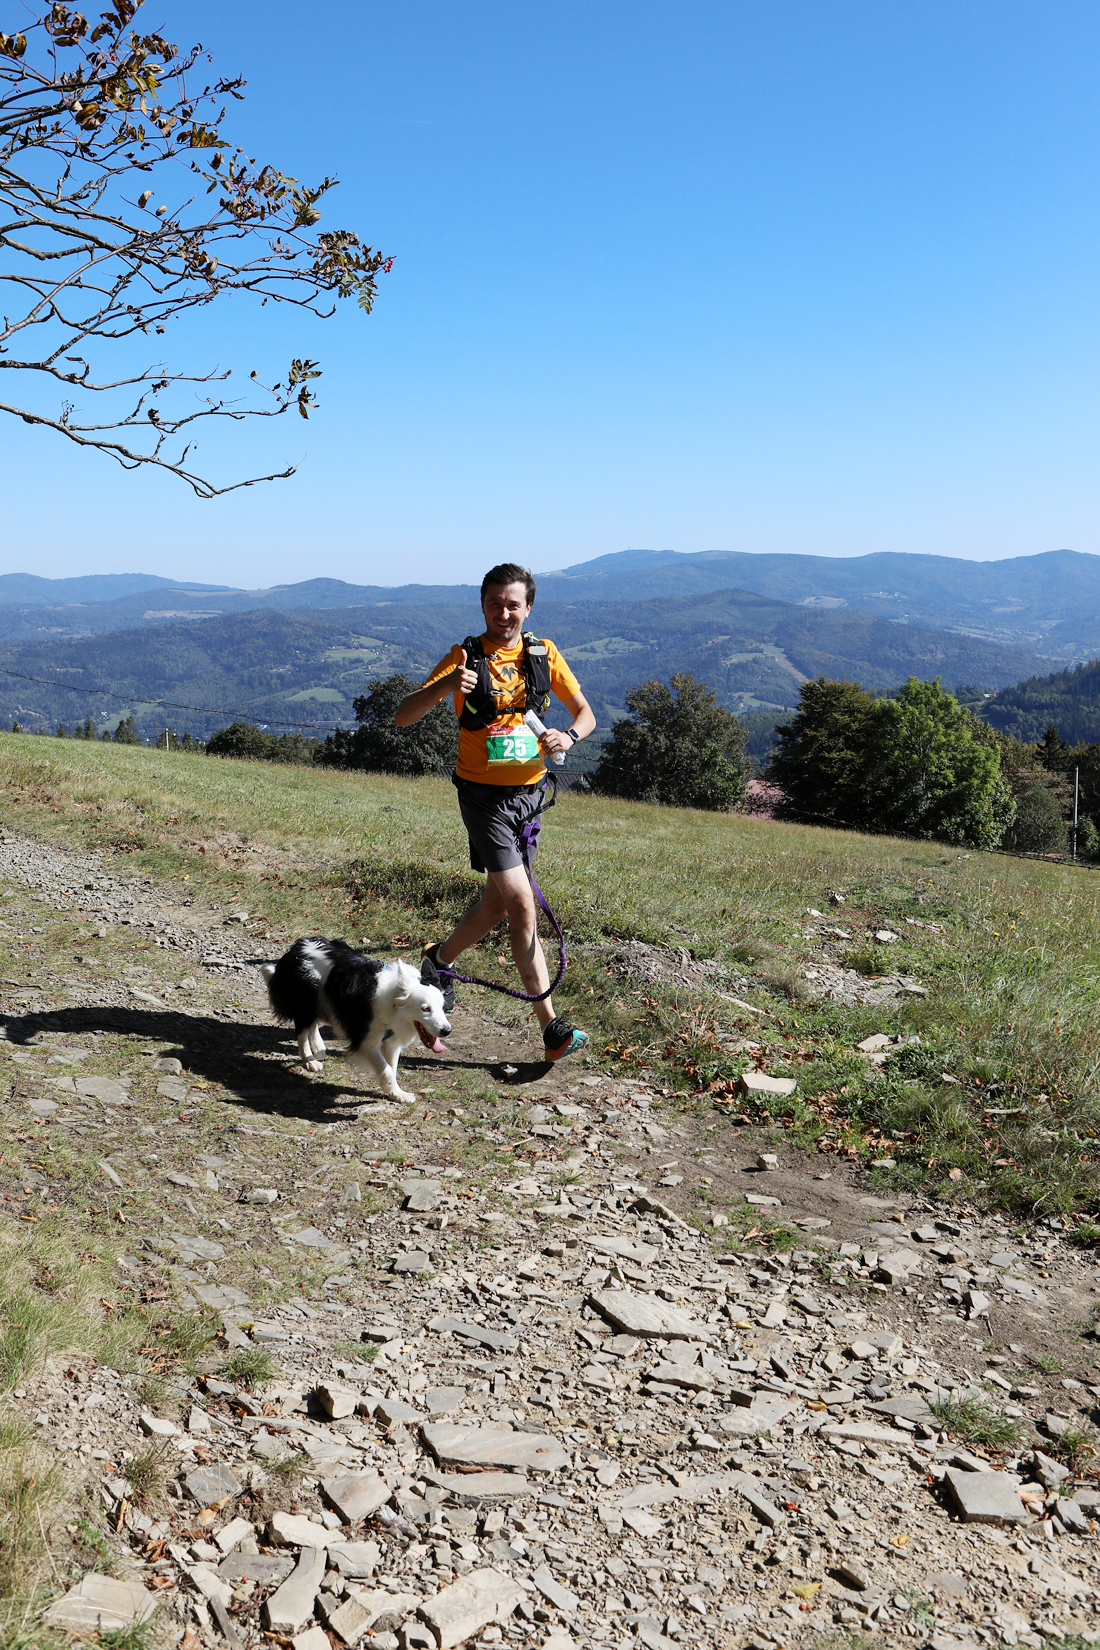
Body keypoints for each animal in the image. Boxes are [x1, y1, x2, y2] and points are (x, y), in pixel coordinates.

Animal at [260, 937, 451, 1103]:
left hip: (323, 998)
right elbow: (386, 1070)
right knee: (302, 1030)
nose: (447, 1031)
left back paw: (319, 1047)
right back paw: (309, 1060)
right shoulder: (366, 1041)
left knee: (312, 1024)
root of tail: (296, 948)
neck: (392, 1002)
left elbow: (392, 1068)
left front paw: (396, 1093)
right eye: (425, 1009)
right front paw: (395, 1092)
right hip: (307, 997)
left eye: (443, 1007)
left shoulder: (391, 1042)